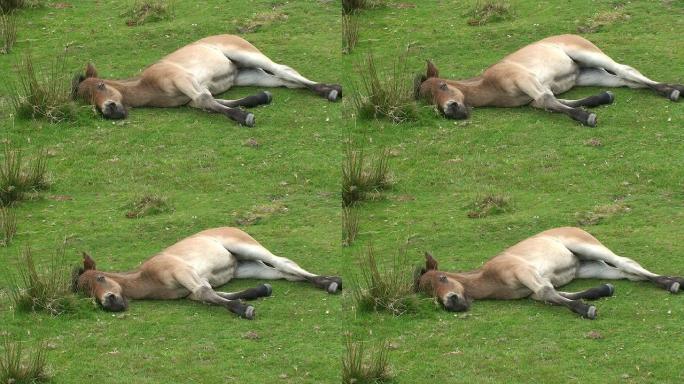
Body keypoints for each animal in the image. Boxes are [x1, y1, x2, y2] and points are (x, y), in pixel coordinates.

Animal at [71, 33, 342, 125]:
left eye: (101, 85)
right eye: (87, 101)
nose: (110, 109)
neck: (148, 86)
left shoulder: (182, 80)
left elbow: (205, 100)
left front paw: (245, 117)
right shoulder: (190, 97)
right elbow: (212, 102)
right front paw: (259, 100)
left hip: (247, 55)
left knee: (283, 70)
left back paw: (332, 90)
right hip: (247, 74)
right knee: (284, 79)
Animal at [73, 226, 340, 320]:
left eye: (100, 278)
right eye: (87, 294)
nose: (110, 301)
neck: (147, 278)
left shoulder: (184, 274)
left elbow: (206, 293)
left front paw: (245, 310)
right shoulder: (190, 288)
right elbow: (213, 295)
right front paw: (259, 293)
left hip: (247, 247)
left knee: (283, 262)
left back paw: (332, 283)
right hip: (247, 267)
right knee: (285, 272)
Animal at [414, 34, 680, 126]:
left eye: (443, 85)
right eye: (430, 102)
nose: (452, 109)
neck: (490, 85)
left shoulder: (527, 81)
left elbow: (547, 100)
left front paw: (586, 117)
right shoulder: (533, 94)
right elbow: (552, 103)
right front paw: (602, 100)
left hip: (589, 54)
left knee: (624, 70)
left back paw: (675, 91)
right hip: (589, 74)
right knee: (626, 79)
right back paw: (672, 89)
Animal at [414, 226, 680, 320]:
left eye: (443, 277)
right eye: (430, 295)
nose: (452, 301)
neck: (489, 278)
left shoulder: (525, 272)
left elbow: (546, 293)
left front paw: (586, 309)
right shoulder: (533, 286)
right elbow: (551, 295)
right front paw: (602, 291)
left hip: (588, 247)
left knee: (625, 262)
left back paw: (675, 283)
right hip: (588, 267)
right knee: (626, 272)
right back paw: (672, 281)